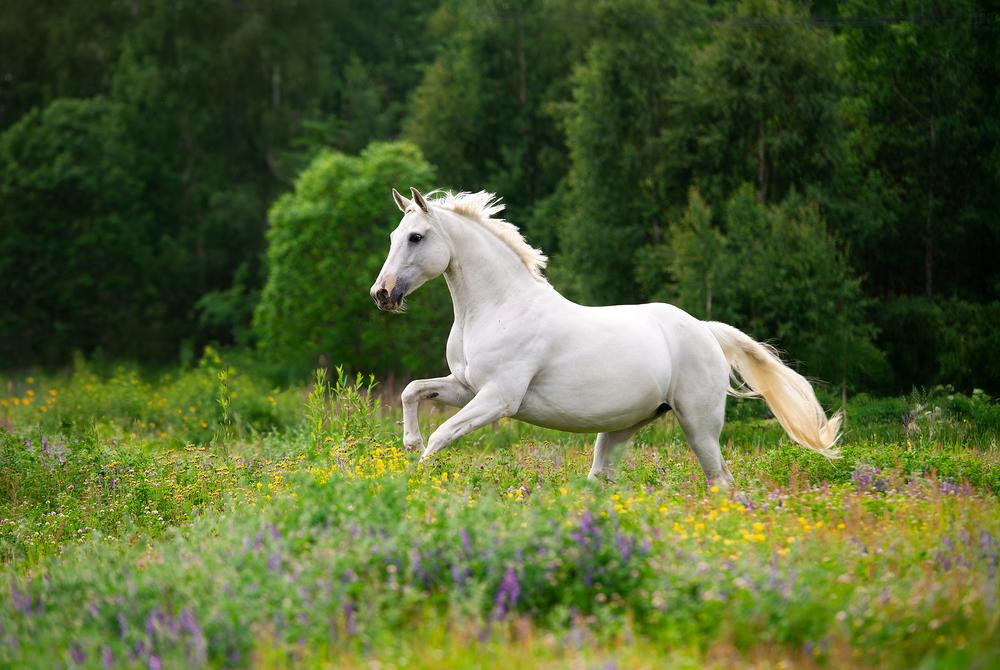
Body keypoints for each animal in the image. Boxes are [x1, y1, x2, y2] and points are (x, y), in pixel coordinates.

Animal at [370, 187, 841, 489]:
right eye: (392, 236)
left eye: (416, 237)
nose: (382, 294)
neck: (499, 307)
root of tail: (705, 330)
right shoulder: (466, 387)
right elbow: (413, 391)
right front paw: (409, 444)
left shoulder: (499, 398)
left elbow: (442, 436)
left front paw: (417, 478)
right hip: (623, 427)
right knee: (600, 478)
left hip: (699, 425)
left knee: (720, 481)